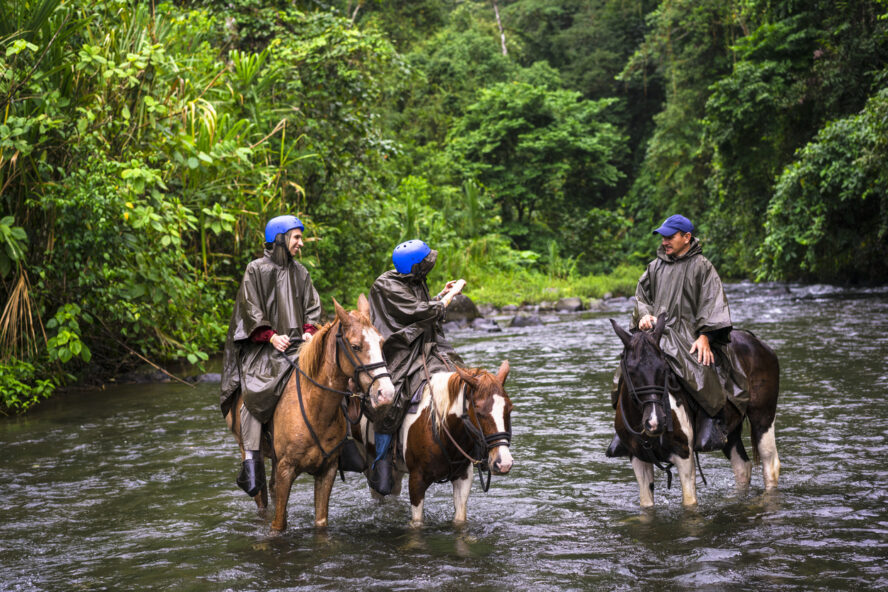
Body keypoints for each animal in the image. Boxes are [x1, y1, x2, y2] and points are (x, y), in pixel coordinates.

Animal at [227, 296, 394, 532]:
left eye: (381, 343)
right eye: (355, 346)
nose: (386, 393)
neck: (315, 408)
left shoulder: (327, 471)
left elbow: (321, 522)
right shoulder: (286, 470)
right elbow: (278, 525)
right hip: (248, 449)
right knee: (261, 496)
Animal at [360, 360, 512, 528]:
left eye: (509, 409)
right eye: (479, 412)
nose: (504, 463)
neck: (442, 431)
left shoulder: (463, 478)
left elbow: (460, 520)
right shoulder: (416, 481)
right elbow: (417, 522)